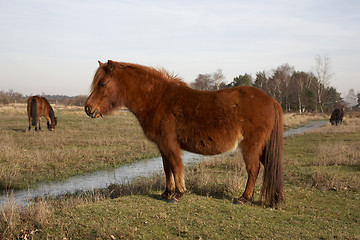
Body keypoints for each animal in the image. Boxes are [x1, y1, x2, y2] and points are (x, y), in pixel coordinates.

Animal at [84, 60, 284, 208]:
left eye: (103, 83)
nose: (88, 108)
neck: (158, 99)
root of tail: (271, 100)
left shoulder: (170, 143)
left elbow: (176, 166)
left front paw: (178, 194)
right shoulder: (162, 145)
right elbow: (167, 168)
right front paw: (167, 193)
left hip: (251, 146)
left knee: (253, 169)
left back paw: (244, 198)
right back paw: (274, 200)